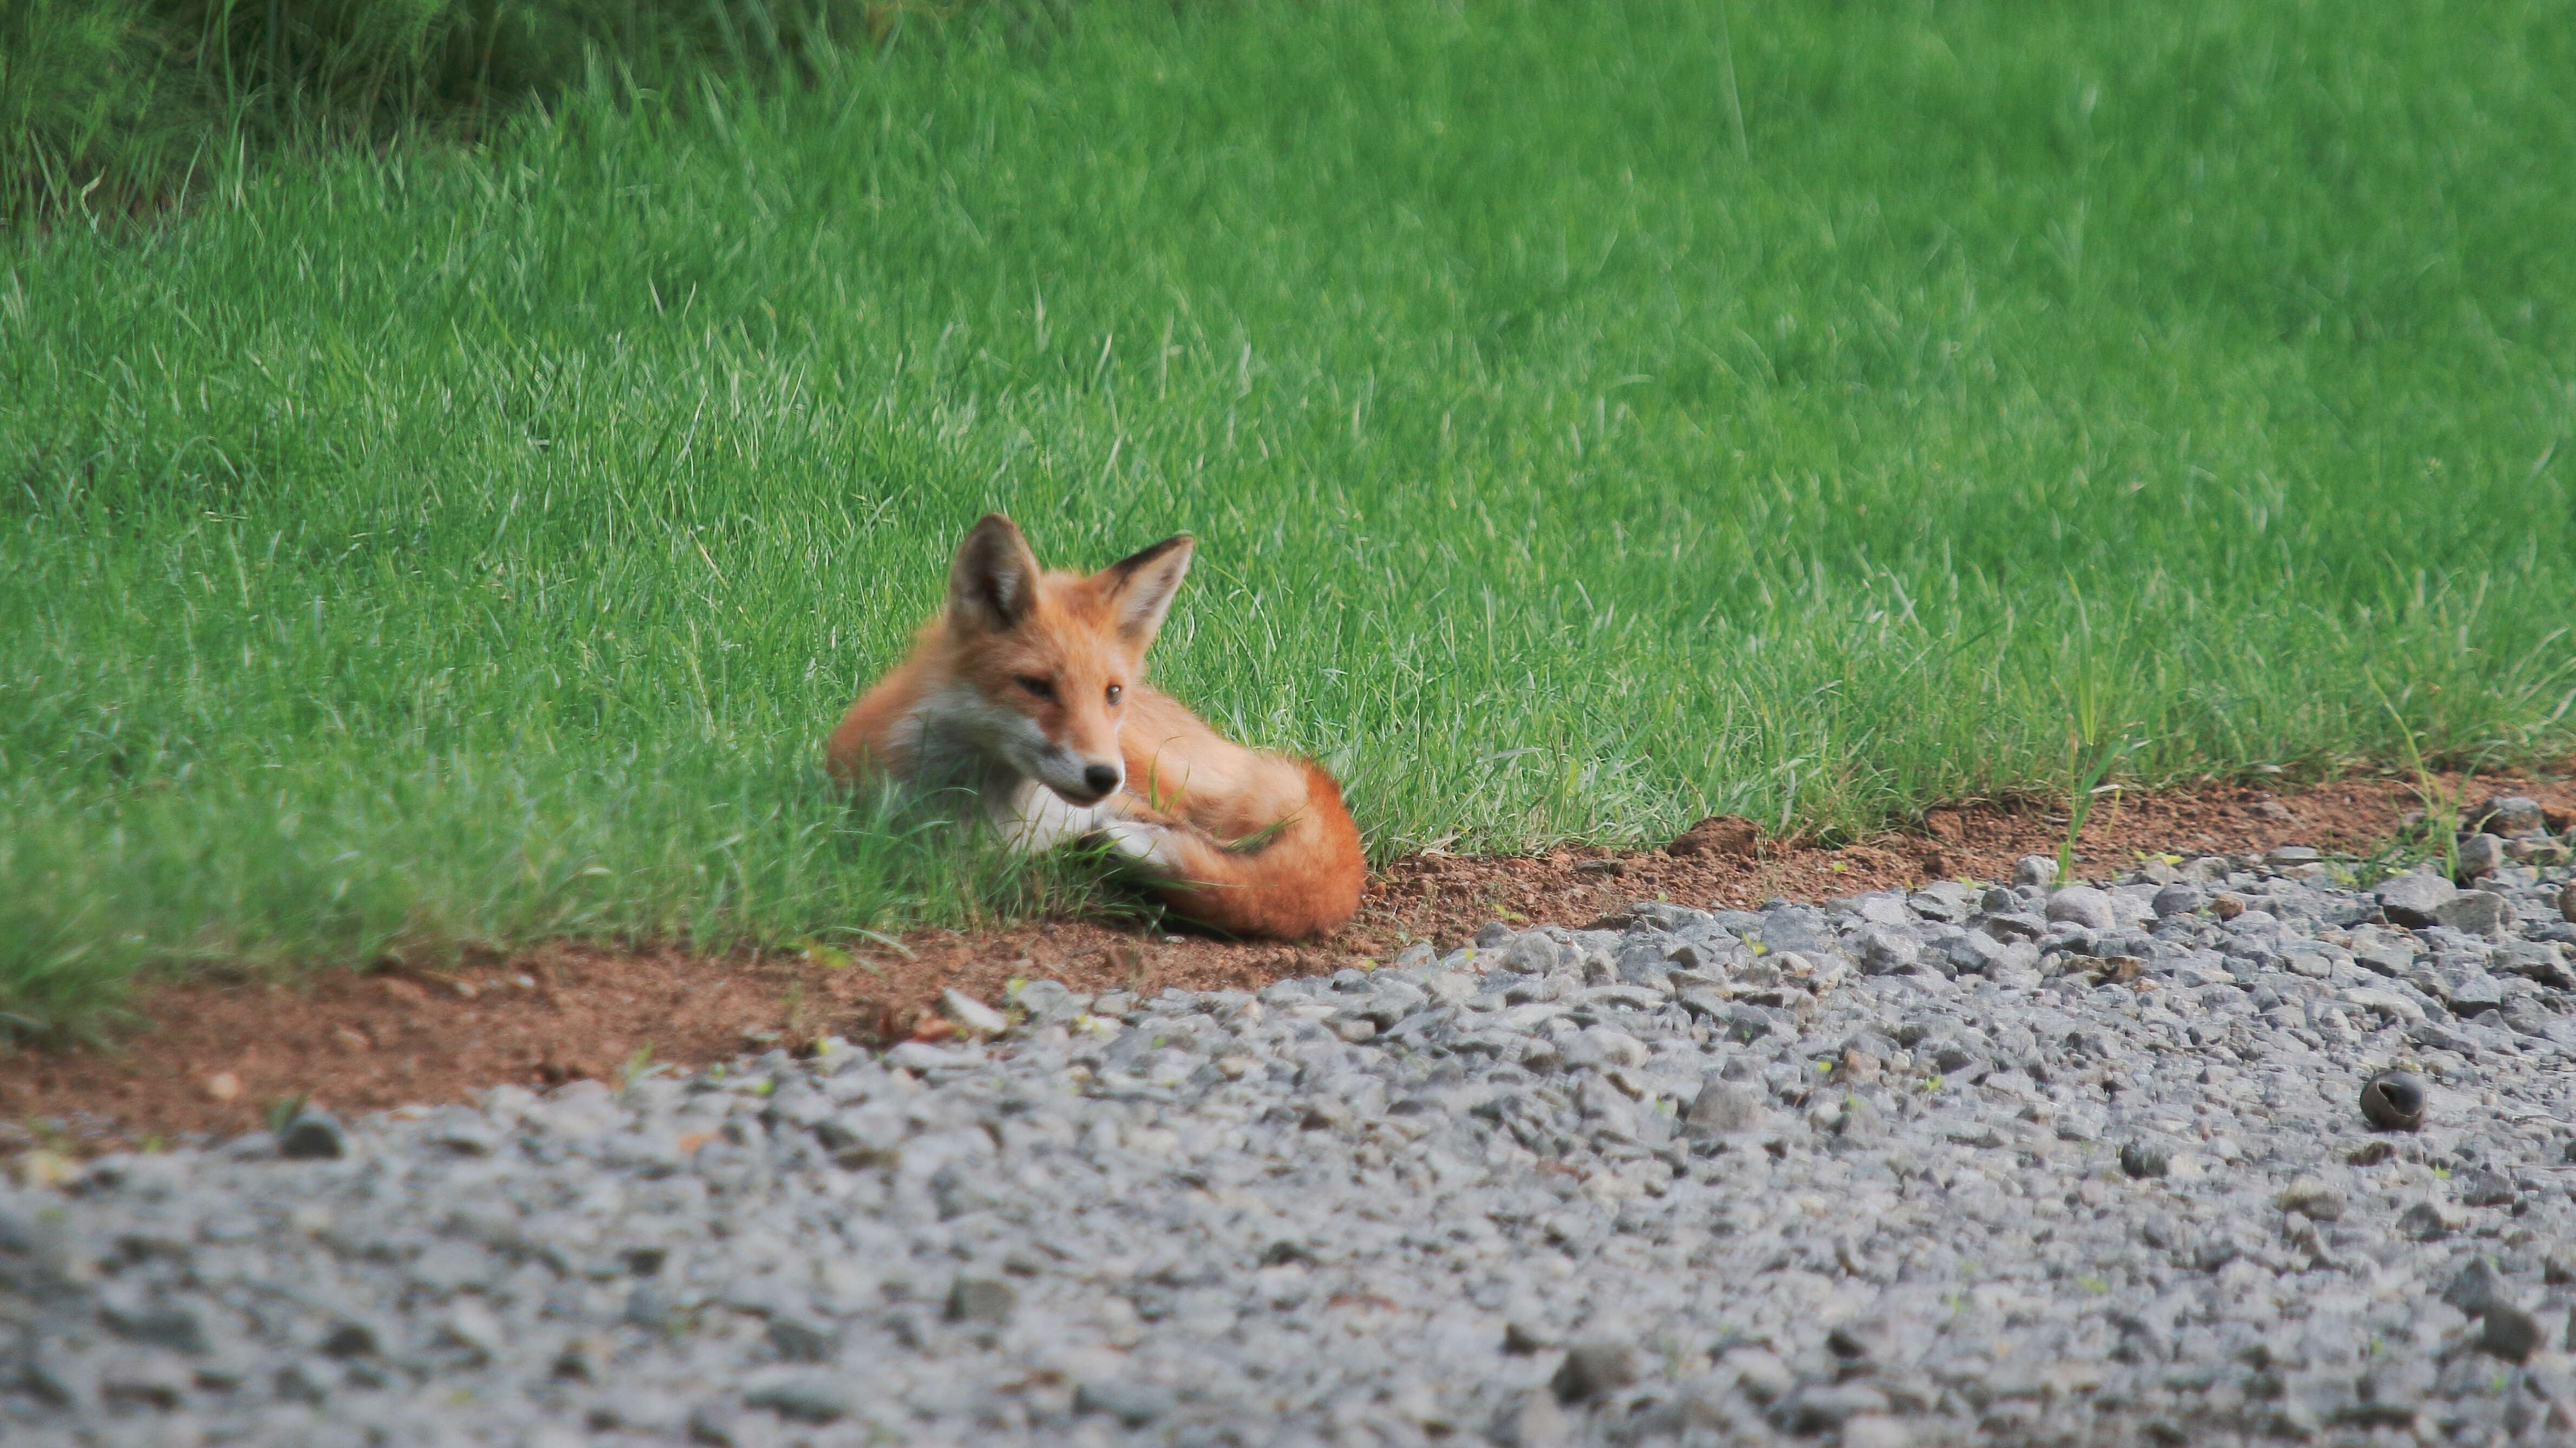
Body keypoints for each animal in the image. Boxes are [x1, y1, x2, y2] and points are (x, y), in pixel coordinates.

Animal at [834, 512, 1370, 943]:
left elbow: (1250, 876)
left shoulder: (1129, 807)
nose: (1103, 777)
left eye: (1111, 693)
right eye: (1036, 687)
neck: (1001, 819)